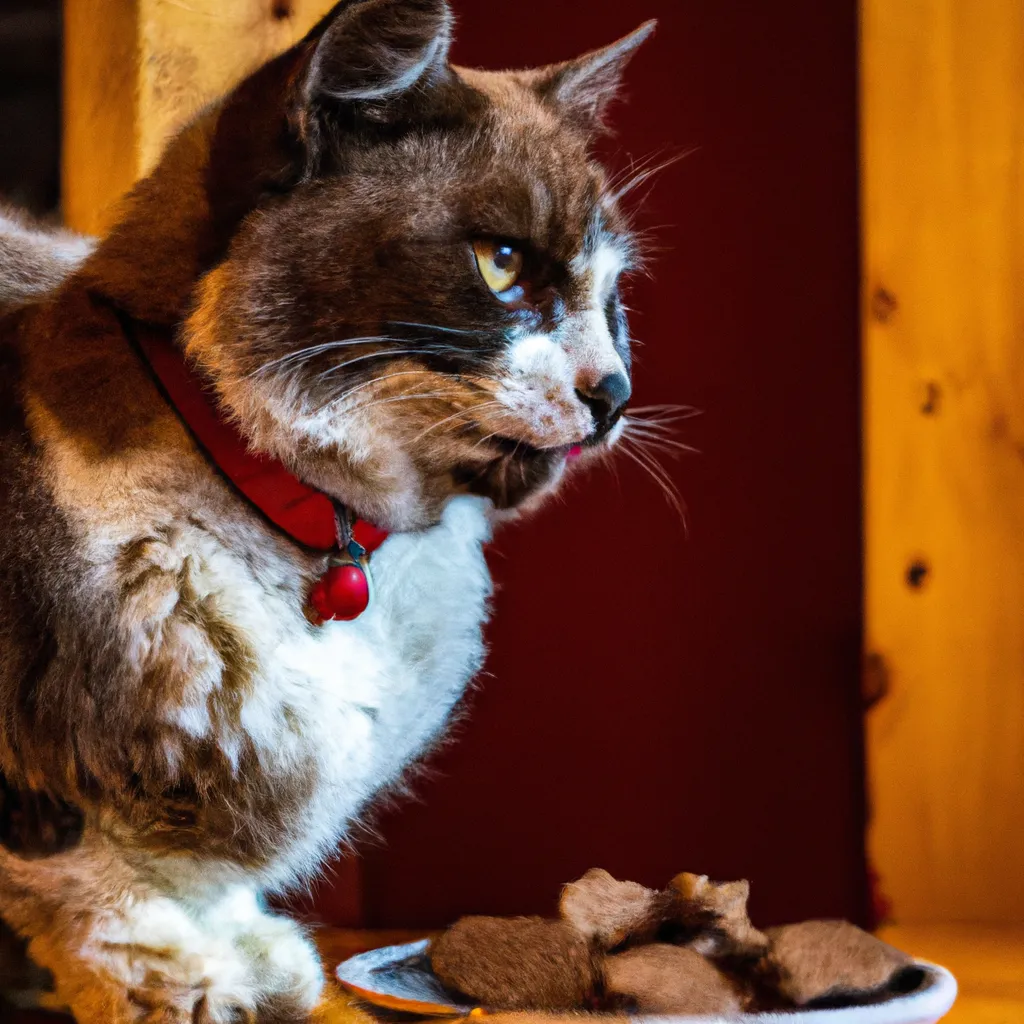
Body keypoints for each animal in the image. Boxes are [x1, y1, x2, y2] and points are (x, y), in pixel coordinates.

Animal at [0, 4, 655, 1019]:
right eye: (501, 263)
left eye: (611, 296)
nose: (615, 392)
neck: (324, 535)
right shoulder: (45, 771)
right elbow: (96, 887)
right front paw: (190, 980)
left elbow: (194, 879)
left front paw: (249, 952)